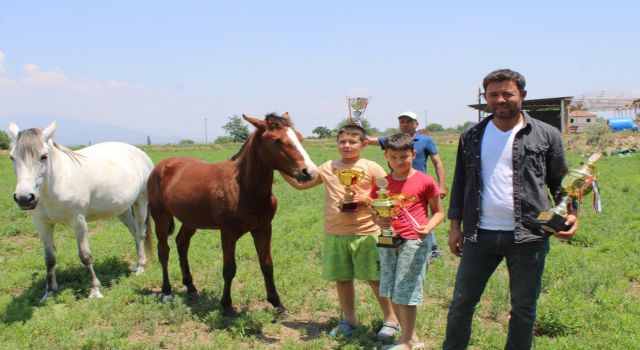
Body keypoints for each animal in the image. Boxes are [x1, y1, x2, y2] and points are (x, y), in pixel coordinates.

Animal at [7, 121, 155, 302]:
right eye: (12, 157)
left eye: (44, 156)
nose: (24, 198)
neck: (56, 184)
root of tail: (140, 153)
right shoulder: (41, 224)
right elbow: (49, 258)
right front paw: (49, 293)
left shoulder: (78, 221)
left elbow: (85, 255)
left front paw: (95, 290)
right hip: (121, 209)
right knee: (134, 232)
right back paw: (136, 265)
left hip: (141, 202)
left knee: (140, 233)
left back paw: (141, 268)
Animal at [150, 112, 320, 314]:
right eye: (277, 141)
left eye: (300, 138)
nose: (309, 172)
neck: (244, 189)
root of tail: (162, 165)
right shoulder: (228, 233)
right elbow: (229, 268)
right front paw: (226, 306)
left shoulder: (263, 229)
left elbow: (267, 265)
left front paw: (277, 304)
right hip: (160, 217)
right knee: (163, 250)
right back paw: (167, 292)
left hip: (190, 220)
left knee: (182, 244)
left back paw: (191, 288)